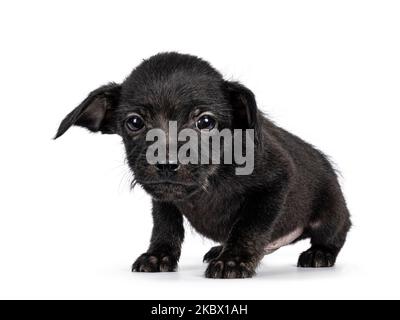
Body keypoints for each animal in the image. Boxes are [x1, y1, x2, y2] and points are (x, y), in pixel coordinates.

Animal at [55, 52, 350, 278]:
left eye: (205, 122)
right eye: (135, 122)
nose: (166, 162)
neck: (210, 181)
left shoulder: (276, 182)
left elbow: (249, 226)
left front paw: (233, 260)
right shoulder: (163, 199)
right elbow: (165, 225)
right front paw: (158, 255)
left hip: (331, 214)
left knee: (335, 234)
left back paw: (319, 253)